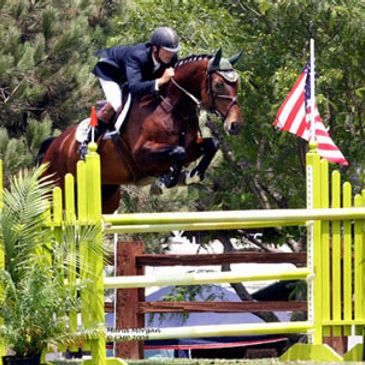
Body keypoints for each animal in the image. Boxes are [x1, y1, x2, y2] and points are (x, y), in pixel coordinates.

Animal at [37, 49, 242, 212]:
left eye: (237, 84)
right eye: (218, 84)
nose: (236, 125)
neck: (173, 107)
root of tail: (55, 143)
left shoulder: (191, 146)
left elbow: (211, 145)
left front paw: (192, 175)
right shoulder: (142, 153)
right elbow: (178, 152)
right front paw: (167, 179)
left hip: (106, 195)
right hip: (53, 191)